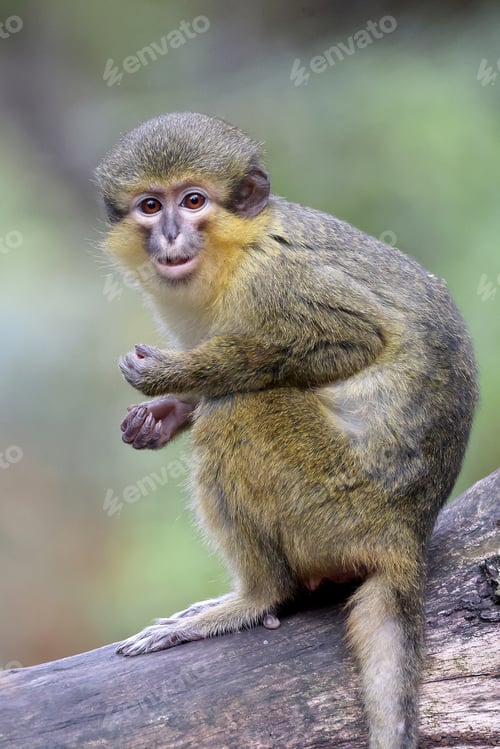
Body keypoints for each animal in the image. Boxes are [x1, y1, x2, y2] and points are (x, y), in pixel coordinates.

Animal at [95, 112, 478, 749]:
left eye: (193, 201)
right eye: (151, 206)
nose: (169, 235)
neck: (231, 251)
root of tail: (405, 533)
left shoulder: (273, 277)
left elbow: (352, 339)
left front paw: (174, 377)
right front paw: (163, 415)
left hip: (334, 510)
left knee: (239, 409)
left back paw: (257, 598)